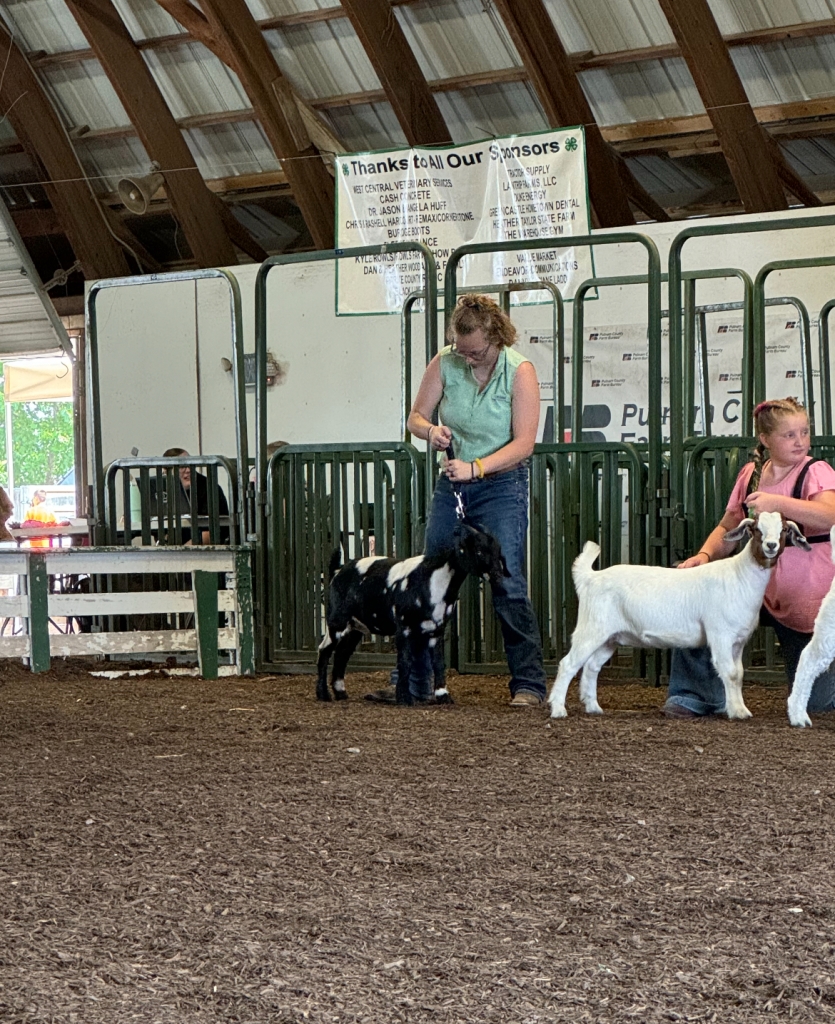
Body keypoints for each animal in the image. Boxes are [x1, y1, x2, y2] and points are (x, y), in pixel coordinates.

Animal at [315, 528, 506, 704]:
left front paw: (443, 696)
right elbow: (405, 662)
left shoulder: (436, 630)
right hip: (337, 621)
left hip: (356, 627)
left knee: (342, 654)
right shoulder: (404, 628)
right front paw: (404, 698)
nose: (498, 575)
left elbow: (438, 663)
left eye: (497, 550)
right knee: (324, 651)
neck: (432, 579)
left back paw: (340, 692)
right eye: (479, 550)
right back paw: (323, 694)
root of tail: (337, 572)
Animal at [549, 509, 811, 720]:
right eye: (756, 529)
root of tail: (590, 578)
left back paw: (593, 707)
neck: (739, 576)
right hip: (591, 628)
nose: (771, 546)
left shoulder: (738, 641)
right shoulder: (721, 635)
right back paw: (558, 709)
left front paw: (741, 709)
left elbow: (738, 674)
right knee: (568, 664)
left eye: (784, 530)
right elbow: (729, 672)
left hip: (610, 637)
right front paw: (736, 712)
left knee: (591, 667)